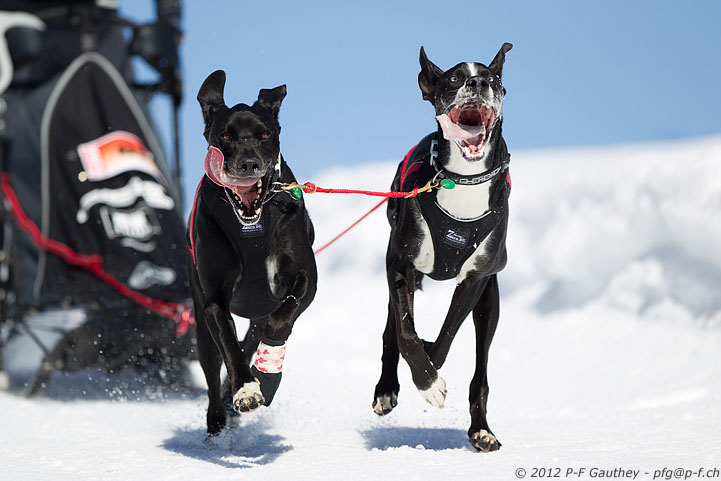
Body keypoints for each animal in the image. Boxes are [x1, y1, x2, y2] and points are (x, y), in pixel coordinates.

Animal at [187, 70, 316, 436]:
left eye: (265, 134)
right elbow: (229, 342)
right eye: (225, 135)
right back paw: (218, 416)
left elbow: (282, 317)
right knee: (213, 362)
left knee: (257, 333)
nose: (248, 163)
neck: (252, 230)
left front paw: (266, 373)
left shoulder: (305, 277)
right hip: (200, 323)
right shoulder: (214, 296)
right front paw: (245, 390)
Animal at [372, 44, 512, 450]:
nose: (479, 83)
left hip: (491, 302)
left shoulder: (477, 278)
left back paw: (482, 429)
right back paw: (386, 389)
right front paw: (426, 381)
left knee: (480, 368)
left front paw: (431, 372)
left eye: (493, 78)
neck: (462, 182)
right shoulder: (400, 263)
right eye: (452, 79)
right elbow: (404, 334)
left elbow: (446, 336)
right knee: (392, 330)